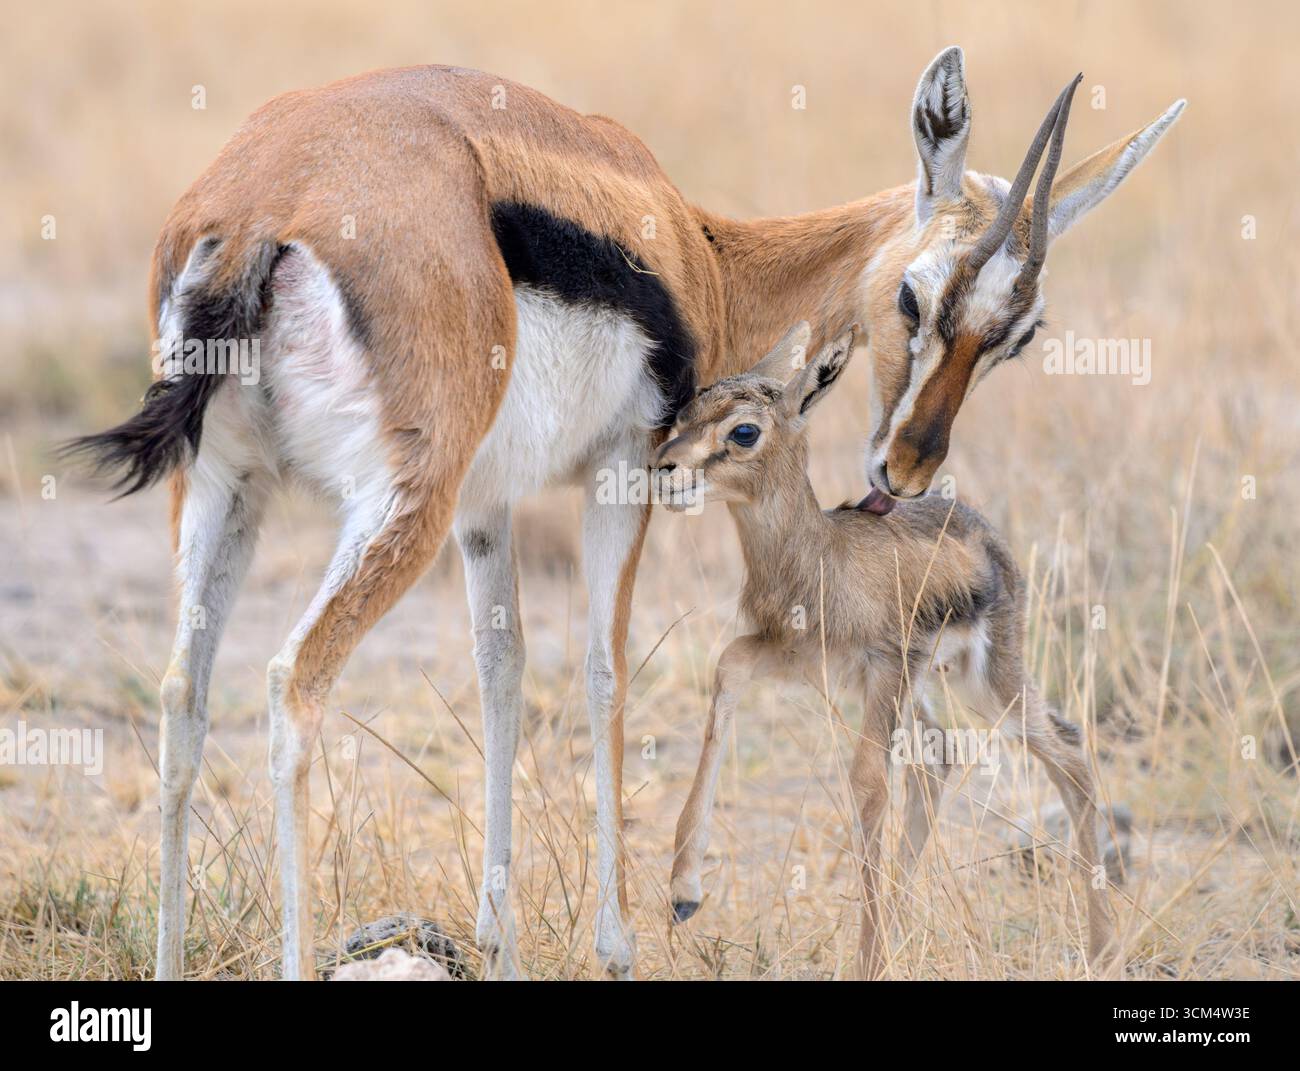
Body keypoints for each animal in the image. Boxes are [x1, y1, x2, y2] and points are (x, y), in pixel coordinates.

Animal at [653, 321, 1112, 978]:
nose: (664, 470)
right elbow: (726, 670)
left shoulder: (881, 669)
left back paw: (1103, 947)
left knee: (1068, 753)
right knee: (943, 756)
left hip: (984, 681)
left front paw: (868, 960)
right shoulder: (797, 660)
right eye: (686, 412)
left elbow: (869, 782)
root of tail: (984, 533)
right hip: (925, 689)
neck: (821, 558)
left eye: (743, 430)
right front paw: (684, 892)